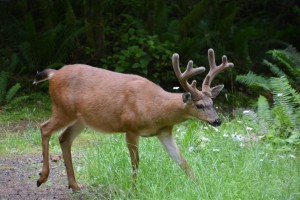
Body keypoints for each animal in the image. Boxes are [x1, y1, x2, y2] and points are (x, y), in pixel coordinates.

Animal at [34, 48, 233, 192]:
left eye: (212, 102)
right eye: (199, 105)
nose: (217, 121)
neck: (155, 109)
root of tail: (54, 74)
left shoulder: (164, 132)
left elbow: (182, 161)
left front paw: (198, 185)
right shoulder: (130, 128)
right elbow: (136, 162)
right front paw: (134, 189)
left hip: (81, 119)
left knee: (64, 138)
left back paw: (74, 185)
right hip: (63, 108)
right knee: (44, 128)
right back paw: (42, 177)